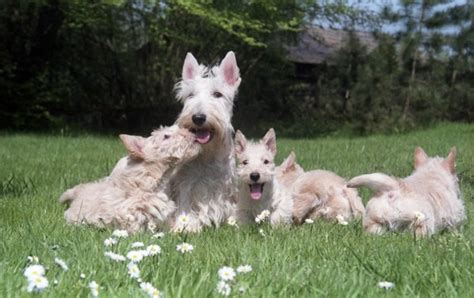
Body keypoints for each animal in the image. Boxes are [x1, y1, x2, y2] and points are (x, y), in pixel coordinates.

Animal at [169, 51, 241, 233]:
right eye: (190, 95)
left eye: (217, 94)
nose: (198, 118)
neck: (207, 154)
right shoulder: (185, 186)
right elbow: (185, 208)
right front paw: (185, 225)